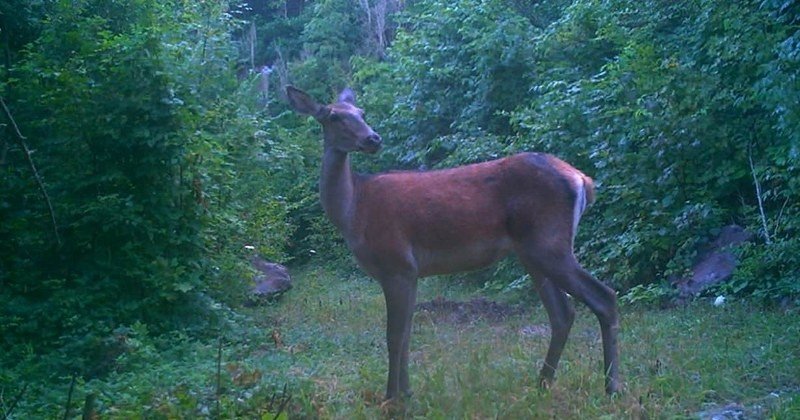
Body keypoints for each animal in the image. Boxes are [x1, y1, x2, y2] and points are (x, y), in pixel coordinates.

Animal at [284, 84, 620, 400]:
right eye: (334, 116)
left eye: (362, 113)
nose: (373, 138)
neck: (355, 209)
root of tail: (582, 179)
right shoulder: (410, 272)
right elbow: (407, 333)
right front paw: (407, 392)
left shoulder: (396, 264)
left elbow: (394, 335)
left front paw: (391, 398)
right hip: (532, 252)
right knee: (563, 313)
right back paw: (542, 384)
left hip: (549, 243)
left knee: (604, 296)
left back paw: (611, 388)